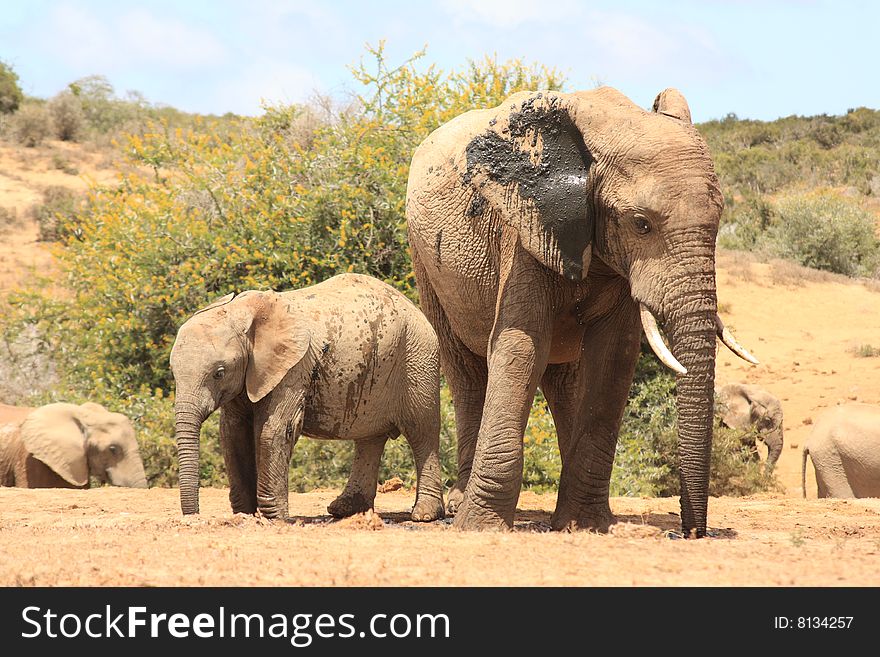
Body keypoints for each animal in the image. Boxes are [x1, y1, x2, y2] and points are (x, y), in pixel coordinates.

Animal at [170, 272, 446, 524]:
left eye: (219, 373)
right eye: (172, 371)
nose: (193, 518)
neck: (240, 312)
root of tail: (413, 306)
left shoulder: (294, 366)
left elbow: (276, 430)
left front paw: (275, 519)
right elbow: (233, 433)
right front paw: (245, 516)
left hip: (418, 356)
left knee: (421, 431)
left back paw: (424, 515)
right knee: (369, 438)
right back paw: (344, 510)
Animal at [406, 84, 756, 536]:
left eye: (717, 223)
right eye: (641, 224)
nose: (692, 532)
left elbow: (613, 357)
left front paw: (584, 524)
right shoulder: (526, 230)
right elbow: (520, 346)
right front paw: (479, 526)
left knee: (563, 380)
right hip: (425, 263)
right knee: (466, 370)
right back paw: (459, 502)